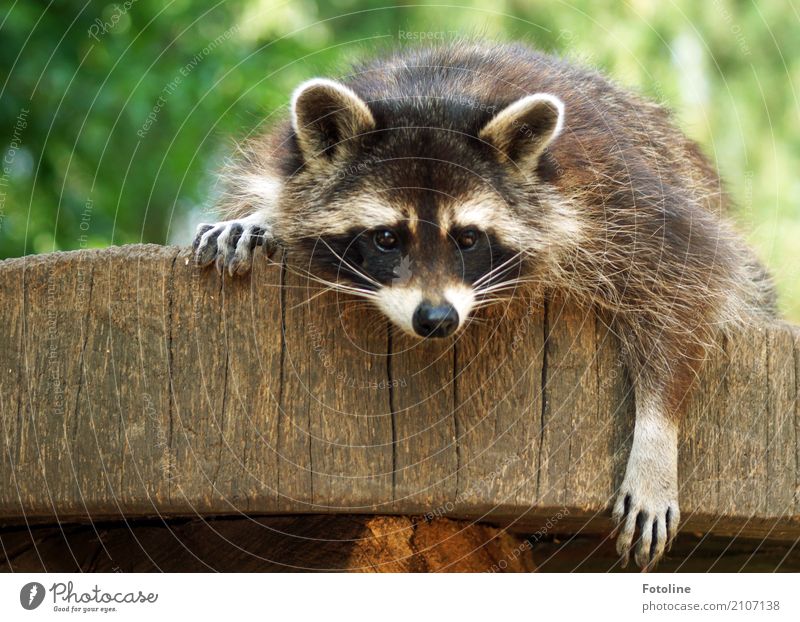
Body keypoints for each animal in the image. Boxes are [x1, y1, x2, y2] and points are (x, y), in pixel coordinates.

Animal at [192, 41, 776, 572]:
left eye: (468, 239)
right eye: (386, 239)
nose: (436, 319)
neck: (429, 94)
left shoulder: (612, 194)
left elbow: (686, 281)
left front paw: (656, 438)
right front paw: (260, 216)